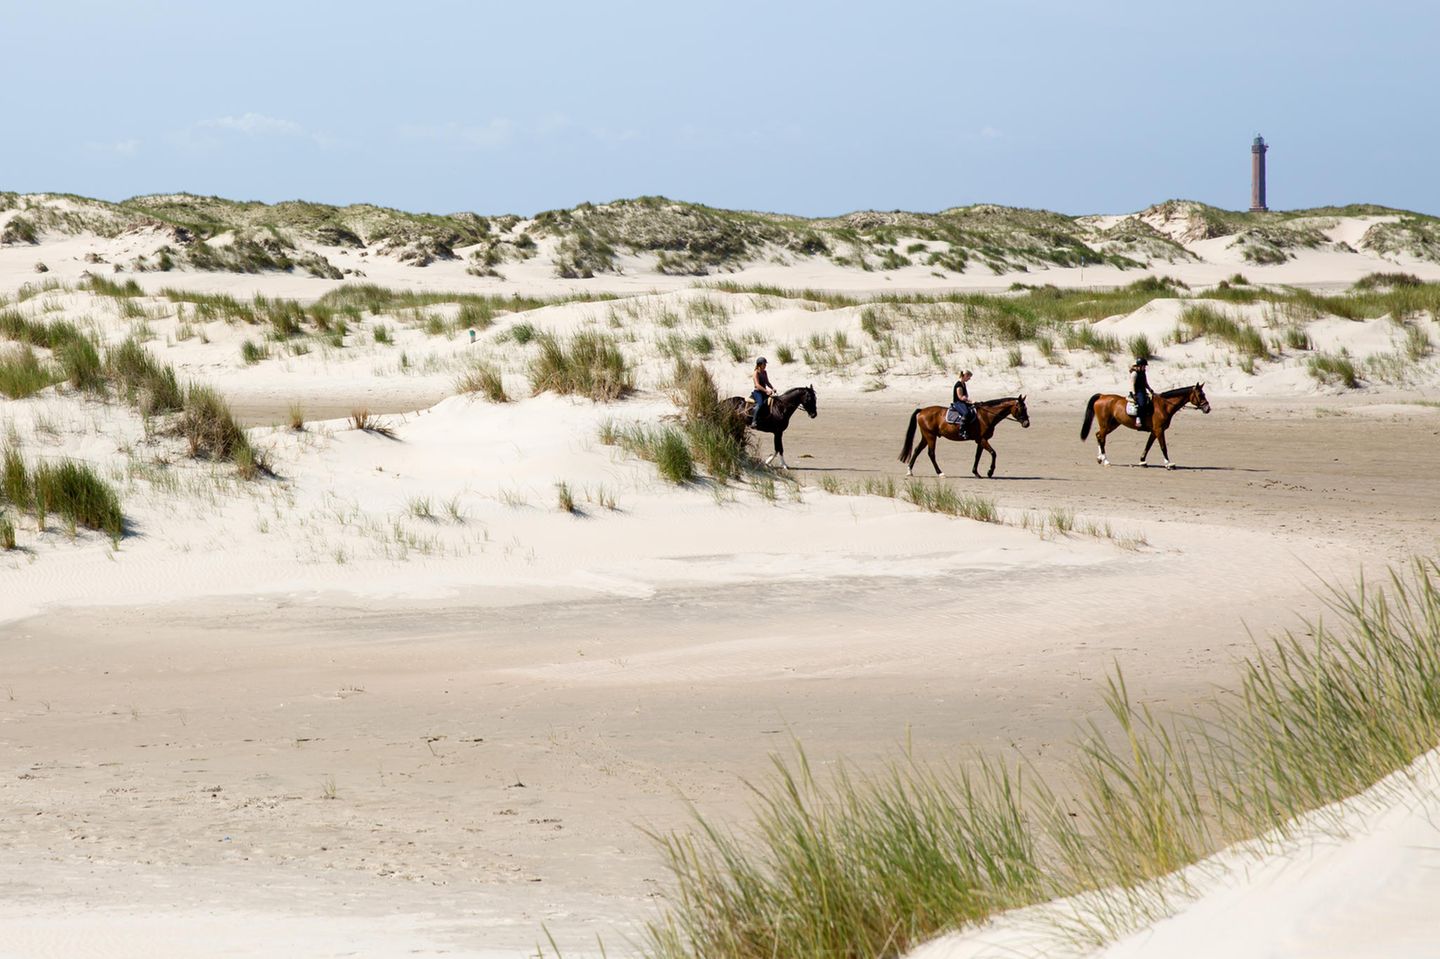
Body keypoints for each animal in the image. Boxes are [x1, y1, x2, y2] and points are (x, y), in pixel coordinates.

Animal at [898, 396, 1031, 478]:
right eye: (1021, 408)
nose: (1027, 424)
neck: (986, 416)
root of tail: (922, 411)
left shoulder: (980, 440)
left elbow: (977, 456)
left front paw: (976, 473)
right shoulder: (982, 439)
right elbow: (993, 453)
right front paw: (990, 472)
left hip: (926, 436)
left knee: (917, 450)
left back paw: (909, 471)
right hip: (930, 436)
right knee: (931, 454)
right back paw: (940, 473)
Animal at [1080, 383, 1211, 469]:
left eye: (1204, 394)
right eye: (1200, 395)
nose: (1207, 408)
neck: (1164, 405)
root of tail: (1102, 396)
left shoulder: (1154, 431)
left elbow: (1148, 446)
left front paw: (1142, 461)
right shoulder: (1159, 430)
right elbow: (1163, 447)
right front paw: (1168, 463)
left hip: (1112, 425)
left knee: (1099, 436)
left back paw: (1100, 458)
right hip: (1106, 425)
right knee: (1101, 438)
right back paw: (1106, 460)